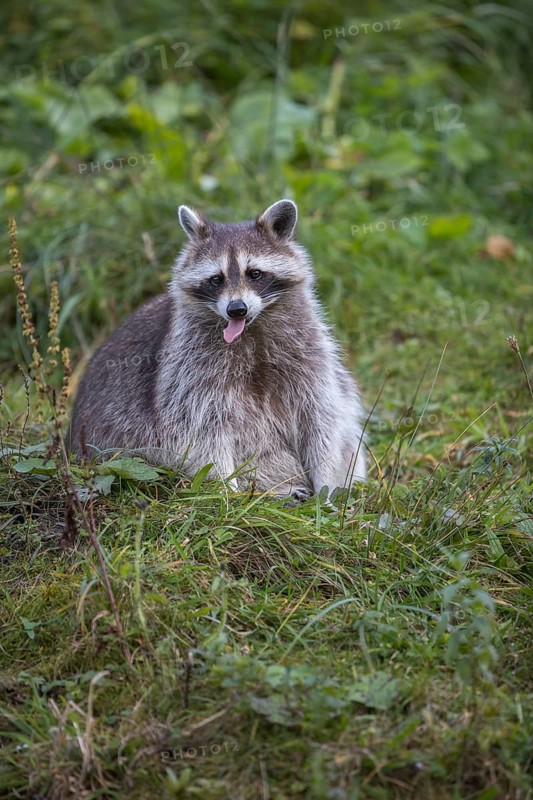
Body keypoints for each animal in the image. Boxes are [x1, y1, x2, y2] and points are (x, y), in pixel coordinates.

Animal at [68, 200, 366, 498]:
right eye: (216, 279)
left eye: (254, 274)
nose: (237, 309)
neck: (250, 331)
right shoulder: (187, 369)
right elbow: (199, 429)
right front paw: (226, 489)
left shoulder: (308, 354)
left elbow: (320, 417)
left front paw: (327, 484)